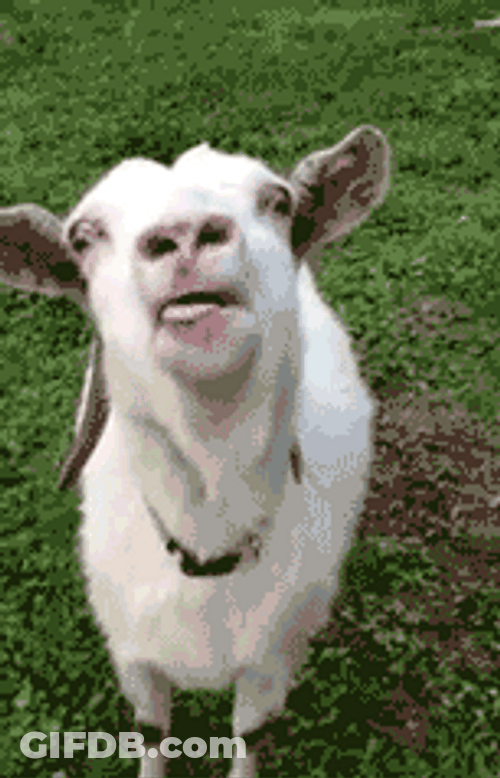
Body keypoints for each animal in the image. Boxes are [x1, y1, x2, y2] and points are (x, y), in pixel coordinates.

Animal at [0, 125, 390, 777]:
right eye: (83, 235)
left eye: (277, 201)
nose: (184, 234)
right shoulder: (132, 653)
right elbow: (152, 731)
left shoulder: (269, 661)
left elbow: (249, 734)